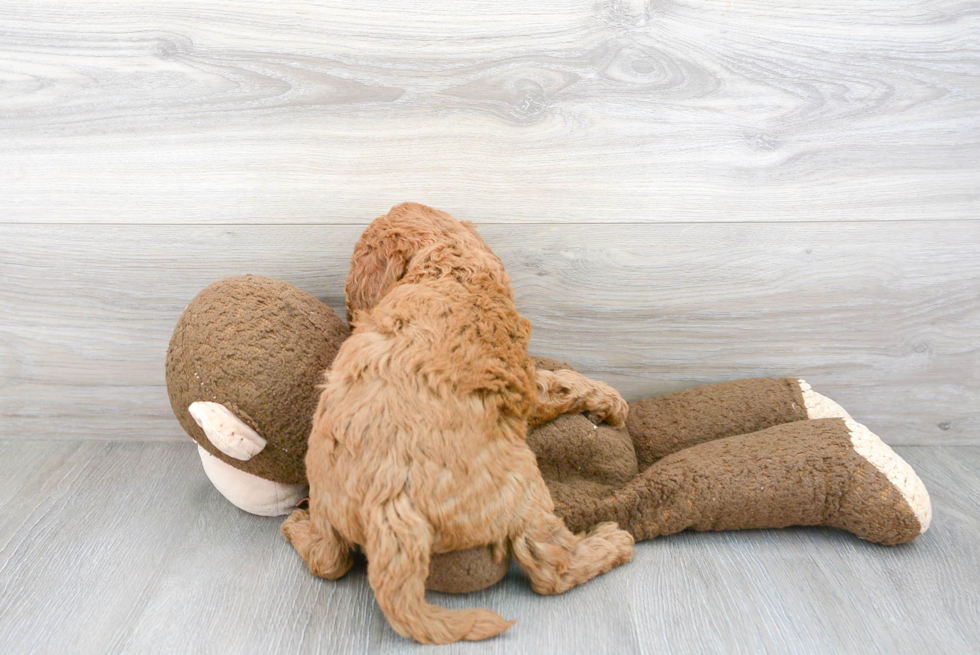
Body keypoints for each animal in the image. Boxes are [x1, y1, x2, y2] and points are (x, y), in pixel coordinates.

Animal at [282, 202, 636, 644]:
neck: (444, 264)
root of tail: (388, 505)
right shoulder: (524, 382)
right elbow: (561, 384)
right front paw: (613, 400)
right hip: (522, 485)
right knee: (549, 567)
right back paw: (612, 542)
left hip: (329, 501)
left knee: (327, 560)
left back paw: (296, 523)